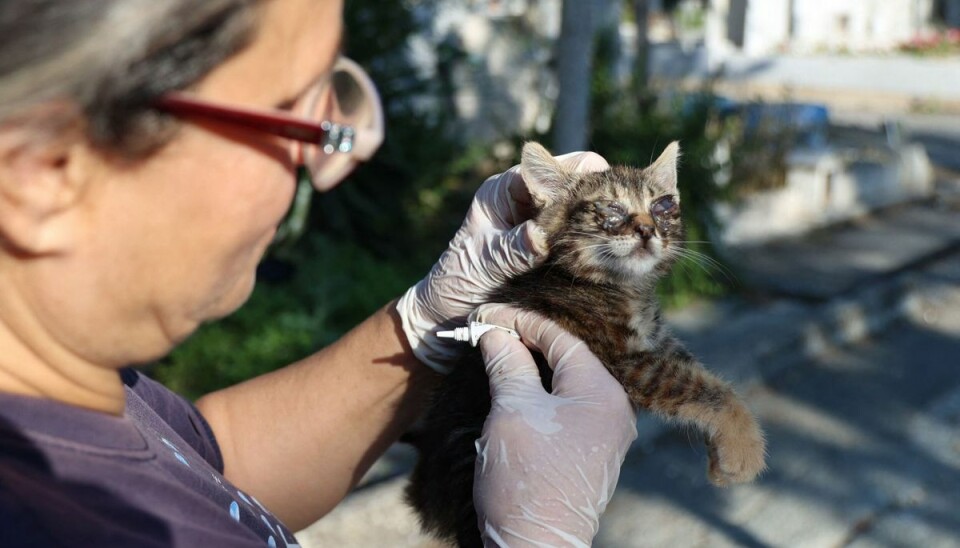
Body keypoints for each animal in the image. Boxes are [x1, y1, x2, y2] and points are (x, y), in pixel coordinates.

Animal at [404, 142, 764, 548]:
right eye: (610, 208)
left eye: (662, 206)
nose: (647, 228)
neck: (617, 286)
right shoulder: (630, 361)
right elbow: (710, 390)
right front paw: (744, 451)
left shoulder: (657, 341)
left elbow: (705, 376)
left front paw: (722, 453)